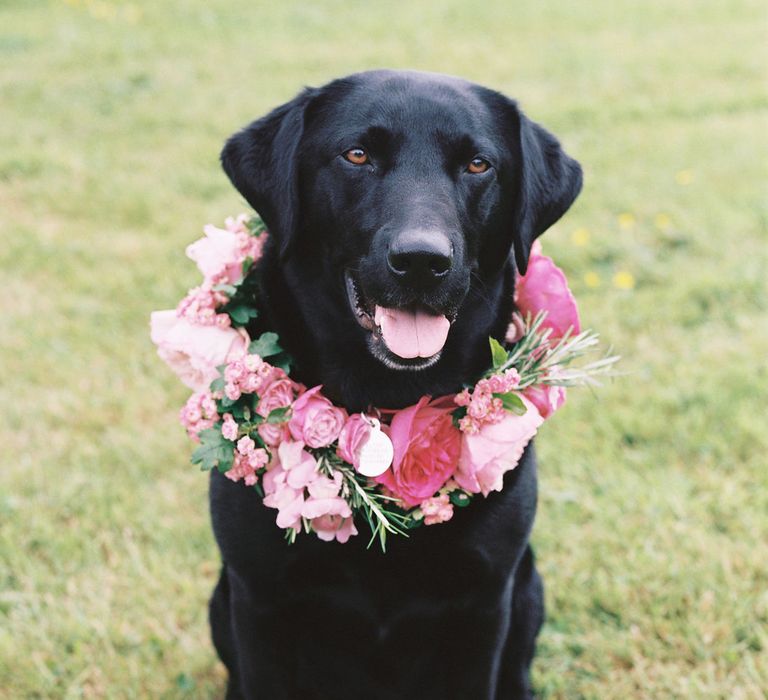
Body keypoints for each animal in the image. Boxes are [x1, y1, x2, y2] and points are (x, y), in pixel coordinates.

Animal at [210, 67, 584, 700]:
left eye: (478, 165)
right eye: (357, 155)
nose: (421, 261)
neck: (386, 397)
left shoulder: (484, 606)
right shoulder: (259, 600)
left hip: (527, 590)